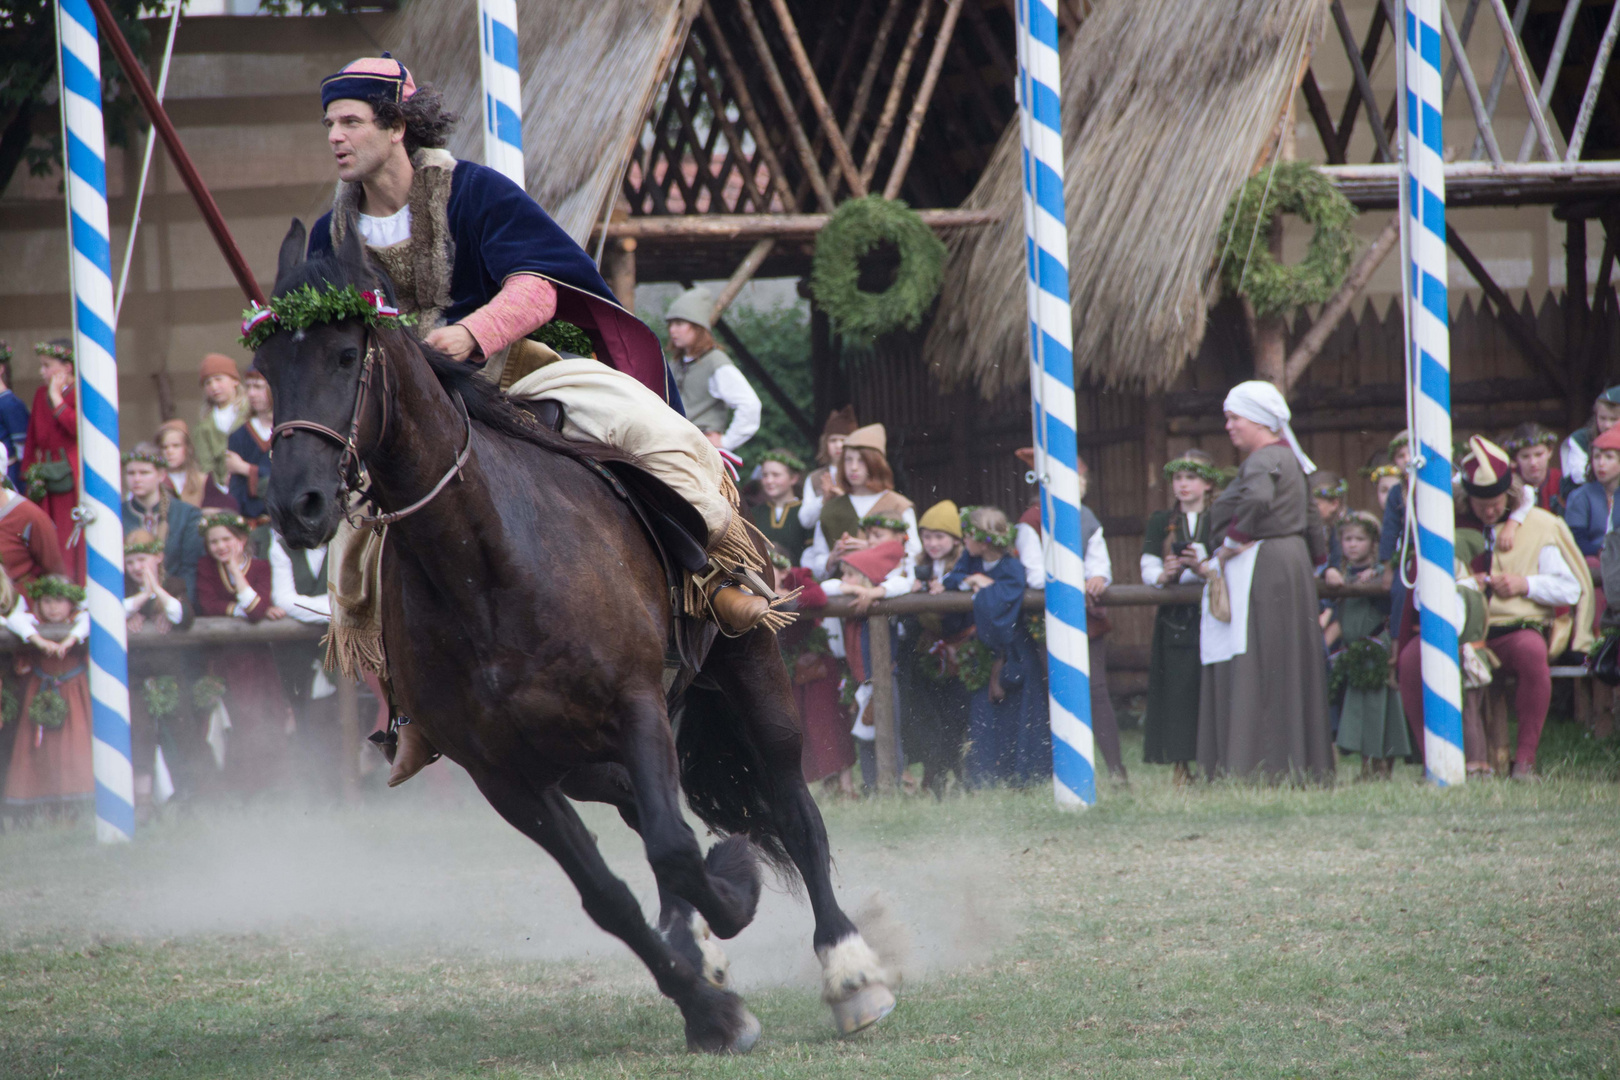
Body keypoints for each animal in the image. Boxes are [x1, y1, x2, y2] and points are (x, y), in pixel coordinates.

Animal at [254, 221, 894, 1055]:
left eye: (342, 353)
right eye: (266, 365)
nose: (296, 502)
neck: (486, 567)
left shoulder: (634, 706)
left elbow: (677, 851)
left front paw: (734, 897)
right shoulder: (505, 775)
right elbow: (611, 893)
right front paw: (708, 1004)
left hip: (751, 674)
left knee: (791, 808)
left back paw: (849, 969)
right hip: (590, 758)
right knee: (647, 813)